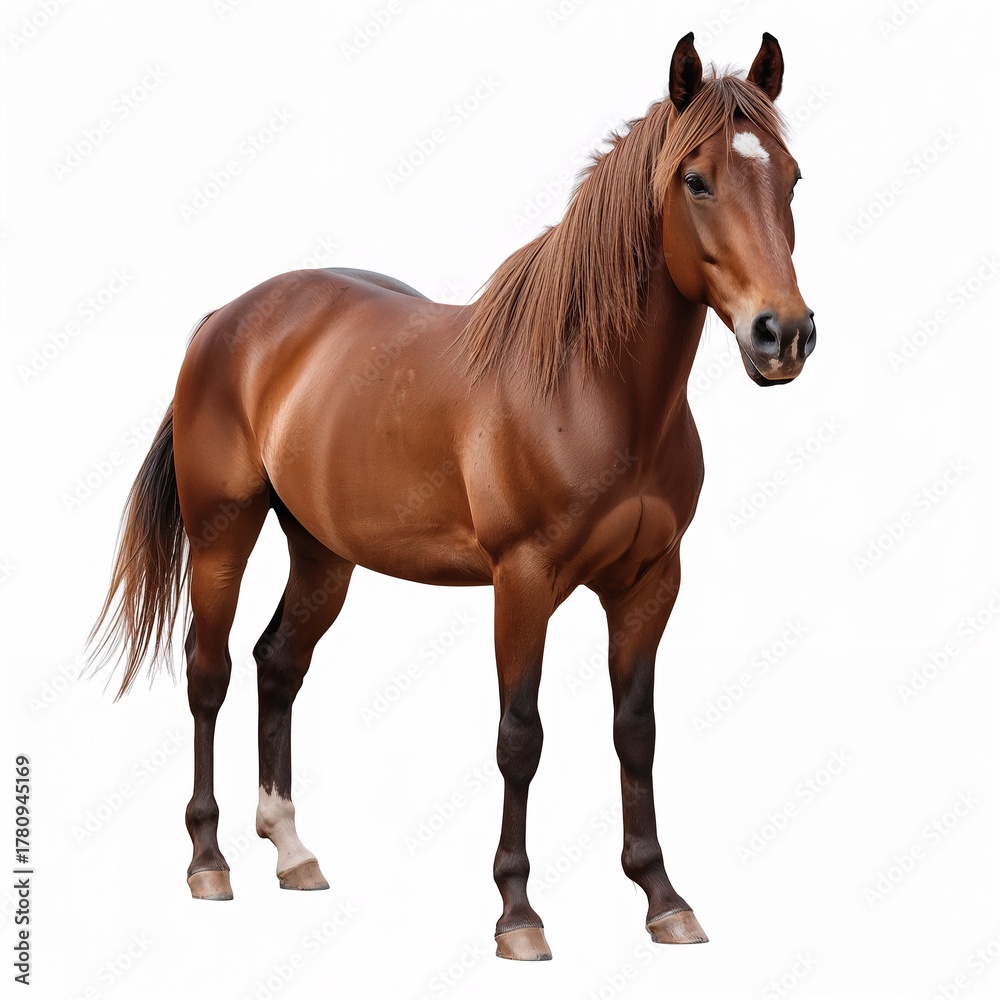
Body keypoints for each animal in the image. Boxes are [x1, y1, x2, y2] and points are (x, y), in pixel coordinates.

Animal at [90, 31, 815, 961]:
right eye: (697, 179)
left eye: (791, 176)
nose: (783, 334)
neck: (592, 387)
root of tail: (225, 320)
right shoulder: (524, 580)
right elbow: (520, 737)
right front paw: (518, 914)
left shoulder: (650, 582)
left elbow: (636, 733)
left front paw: (662, 897)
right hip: (224, 534)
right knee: (207, 672)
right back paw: (209, 862)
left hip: (323, 553)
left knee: (277, 663)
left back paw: (292, 851)